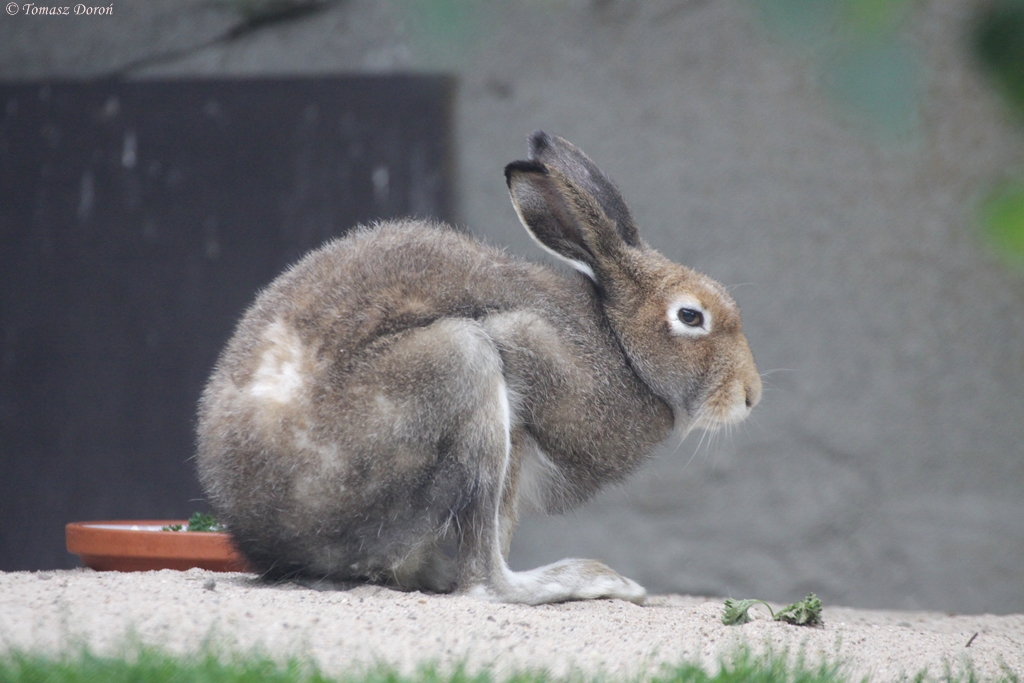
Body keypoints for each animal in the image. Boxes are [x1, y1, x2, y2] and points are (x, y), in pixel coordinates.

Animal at [196, 131, 761, 605]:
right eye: (691, 316)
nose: (750, 395)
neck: (620, 345)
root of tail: (271, 538)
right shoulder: (522, 371)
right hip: (461, 370)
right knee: (484, 580)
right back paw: (595, 579)